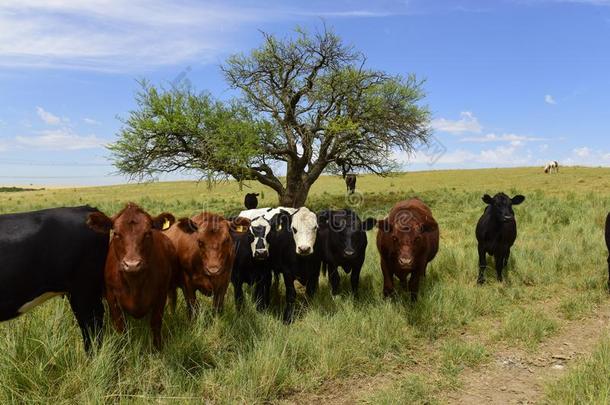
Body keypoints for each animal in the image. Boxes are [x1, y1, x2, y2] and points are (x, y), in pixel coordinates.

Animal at [85, 204, 176, 348]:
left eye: (148, 233)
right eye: (116, 234)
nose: (132, 264)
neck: (135, 285)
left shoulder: (161, 295)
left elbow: (156, 323)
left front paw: (158, 348)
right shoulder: (112, 298)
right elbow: (121, 328)